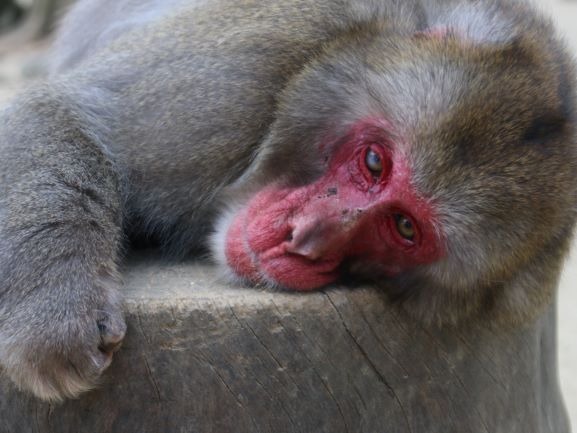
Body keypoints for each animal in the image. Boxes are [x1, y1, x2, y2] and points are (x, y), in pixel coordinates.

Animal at [0, 0, 572, 402]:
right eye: (374, 163)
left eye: (405, 228)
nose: (305, 237)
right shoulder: (257, 61)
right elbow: (60, 113)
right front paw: (56, 317)